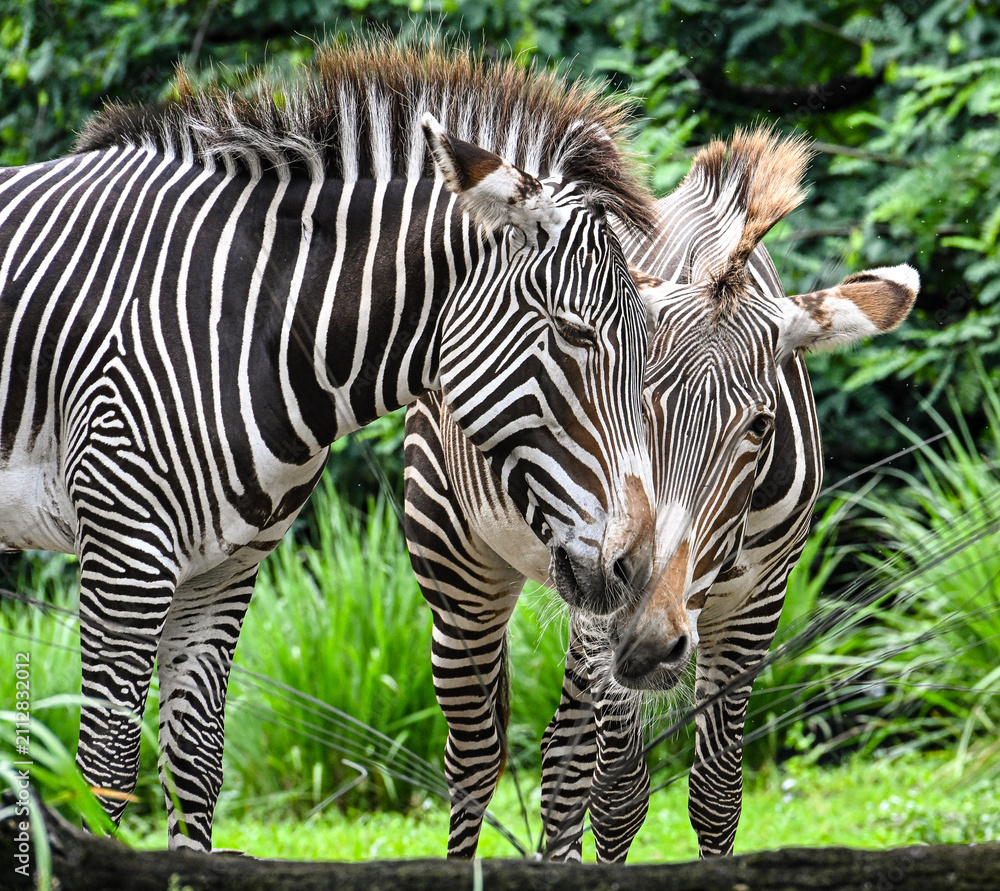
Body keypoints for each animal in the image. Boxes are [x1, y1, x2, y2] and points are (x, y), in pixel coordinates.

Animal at [0, 37, 660, 851]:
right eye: (575, 333)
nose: (635, 566)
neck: (254, 323)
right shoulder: (127, 552)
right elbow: (108, 767)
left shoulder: (221, 569)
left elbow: (196, 766)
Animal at [403, 127, 919, 860]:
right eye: (635, 403)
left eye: (761, 426)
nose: (649, 642)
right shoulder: (604, 596)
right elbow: (618, 795)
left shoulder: (757, 603)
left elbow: (716, 794)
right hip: (458, 568)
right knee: (474, 760)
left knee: (560, 760)